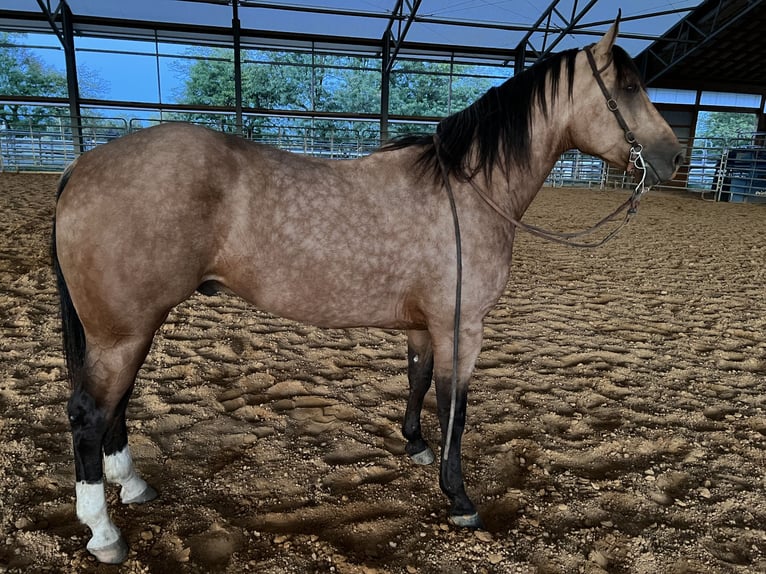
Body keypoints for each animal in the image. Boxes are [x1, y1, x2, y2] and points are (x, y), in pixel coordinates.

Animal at [51, 19, 680, 568]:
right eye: (628, 87)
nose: (674, 158)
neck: (468, 189)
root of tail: (83, 164)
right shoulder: (462, 327)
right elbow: (456, 407)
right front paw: (459, 498)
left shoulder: (427, 326)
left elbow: (420, 382)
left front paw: (415, 445)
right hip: (122, 333)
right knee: (89, 413)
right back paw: (103, 532)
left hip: (129, 331)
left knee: (116, 406)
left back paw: (133, 485)